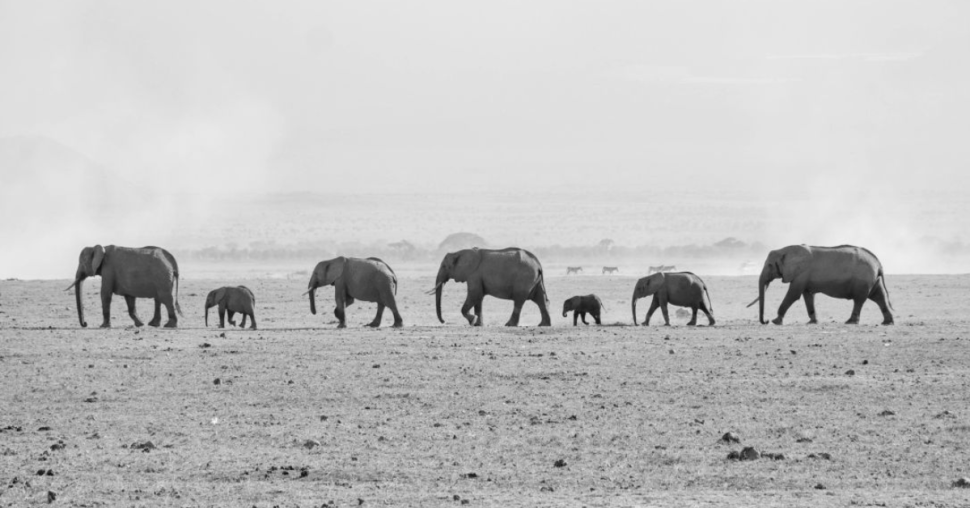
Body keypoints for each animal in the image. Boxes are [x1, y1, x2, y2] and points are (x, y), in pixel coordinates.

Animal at [744, 243, 896, 324]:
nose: (765, 321)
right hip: (872, 279)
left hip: (863, 279)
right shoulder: (804, 277)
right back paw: (887, 323)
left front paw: (776, 321)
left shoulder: (801, 273)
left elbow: (793, 294)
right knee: (879, 296)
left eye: (770, 265)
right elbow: (808, 296)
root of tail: (878, 263)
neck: (785, 250)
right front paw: (812, 322)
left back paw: (850, 322)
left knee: (859, 300)